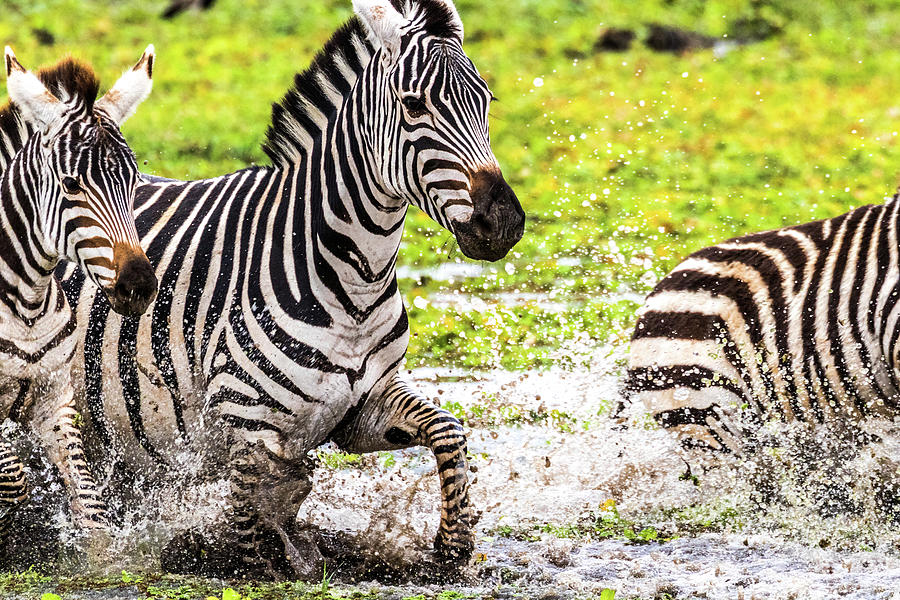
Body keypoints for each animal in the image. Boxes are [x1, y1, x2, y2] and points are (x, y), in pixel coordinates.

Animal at [0, 49, 158, 532]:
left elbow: (91, 508)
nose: (139, 287)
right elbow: (14, 482)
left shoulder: (54, 399)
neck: (25, 305)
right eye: (71, 184)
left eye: (134, 181)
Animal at [59, 0, 524, 576]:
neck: (355, 284)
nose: (504, 223)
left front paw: (452, 546)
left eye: (487, 101)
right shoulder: (243, 424)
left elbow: (448, 428)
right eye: (414, 105)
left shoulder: (363, 409)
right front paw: (254, 556)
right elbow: (250, 512)